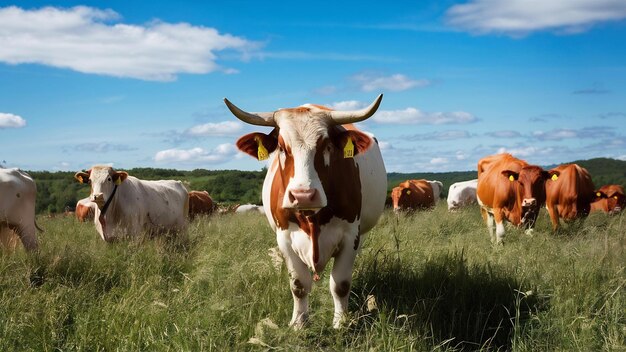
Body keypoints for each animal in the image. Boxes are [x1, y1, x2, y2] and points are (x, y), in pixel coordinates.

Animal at [225, 94, 386, 330]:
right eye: (281, 147)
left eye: (327, 145)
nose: (303, 195)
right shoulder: (284, 238)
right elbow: (299, 285)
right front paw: (299, 323)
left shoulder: (350, 236)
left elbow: (340, 284)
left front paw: (340, 322)